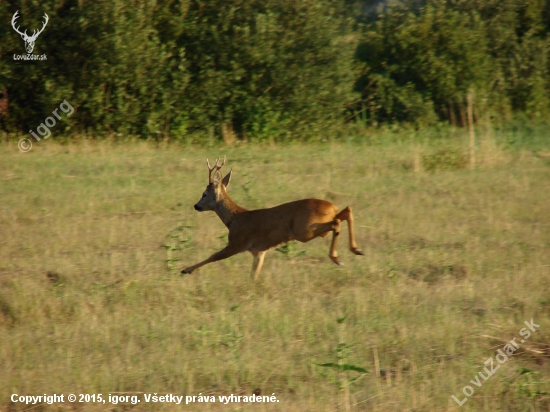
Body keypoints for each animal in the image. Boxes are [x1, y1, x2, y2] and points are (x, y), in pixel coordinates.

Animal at [182, 156, 366, 278]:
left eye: (204, 194)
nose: (196, 206)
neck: (234, 219)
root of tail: (331, 207)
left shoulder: (237, 242)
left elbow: (214, 256)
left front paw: (186, 269)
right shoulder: (259, 251)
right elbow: (254, 274)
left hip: (304, 230)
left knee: (336, 222)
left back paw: (337, 258)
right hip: (315, 225)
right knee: (346, 211)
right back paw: (356, 249)